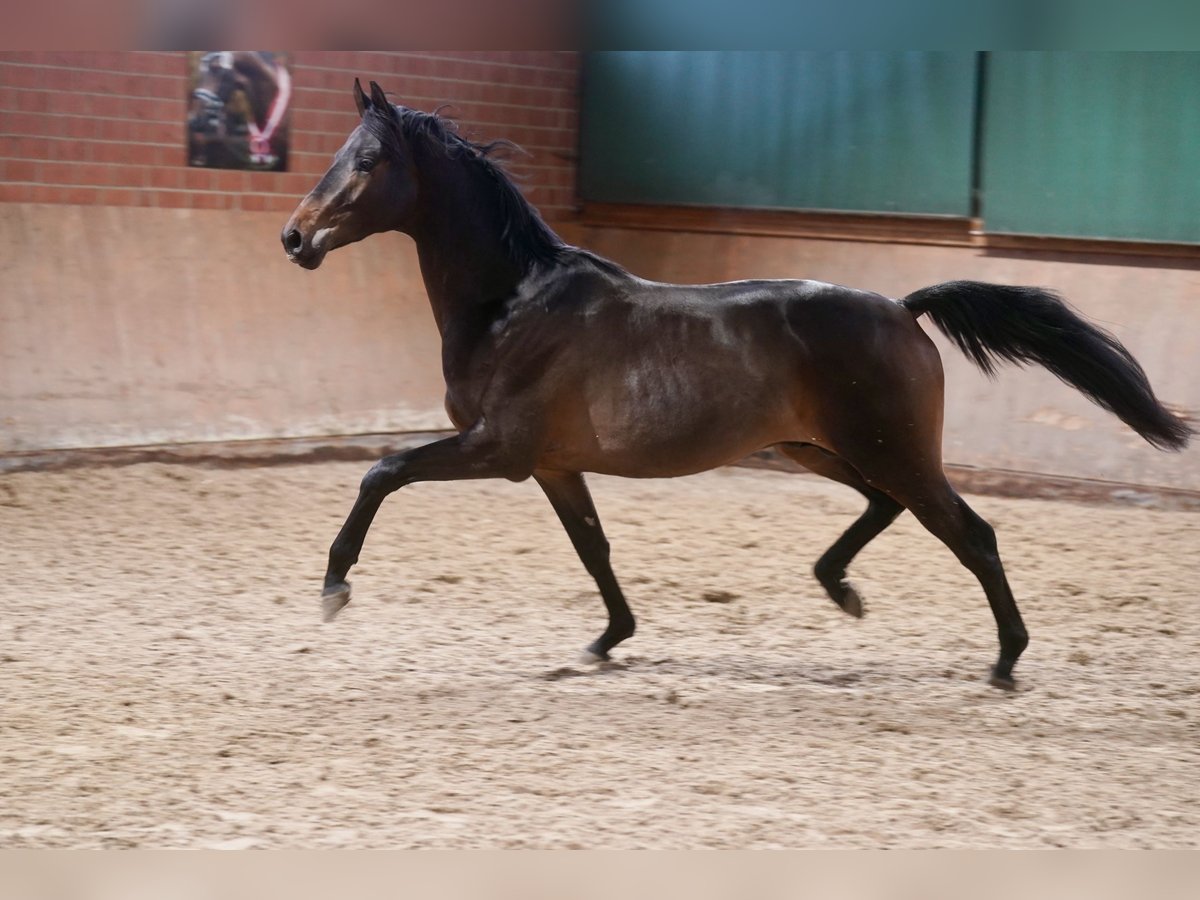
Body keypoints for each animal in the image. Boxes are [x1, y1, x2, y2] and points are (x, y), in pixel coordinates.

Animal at [280, 82, 1190, 691]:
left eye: (367, 161)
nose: (294, 238)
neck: (513, 302)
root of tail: (902, 309)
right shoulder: (552, 464)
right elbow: (593, 548)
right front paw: (608, 640)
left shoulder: (497, 449)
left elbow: (382, 472)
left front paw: (333, 589)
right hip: (819, 448)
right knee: (888, 508)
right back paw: (841, 590)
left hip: (889, 450)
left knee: (973, 534)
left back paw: (1003, 661)